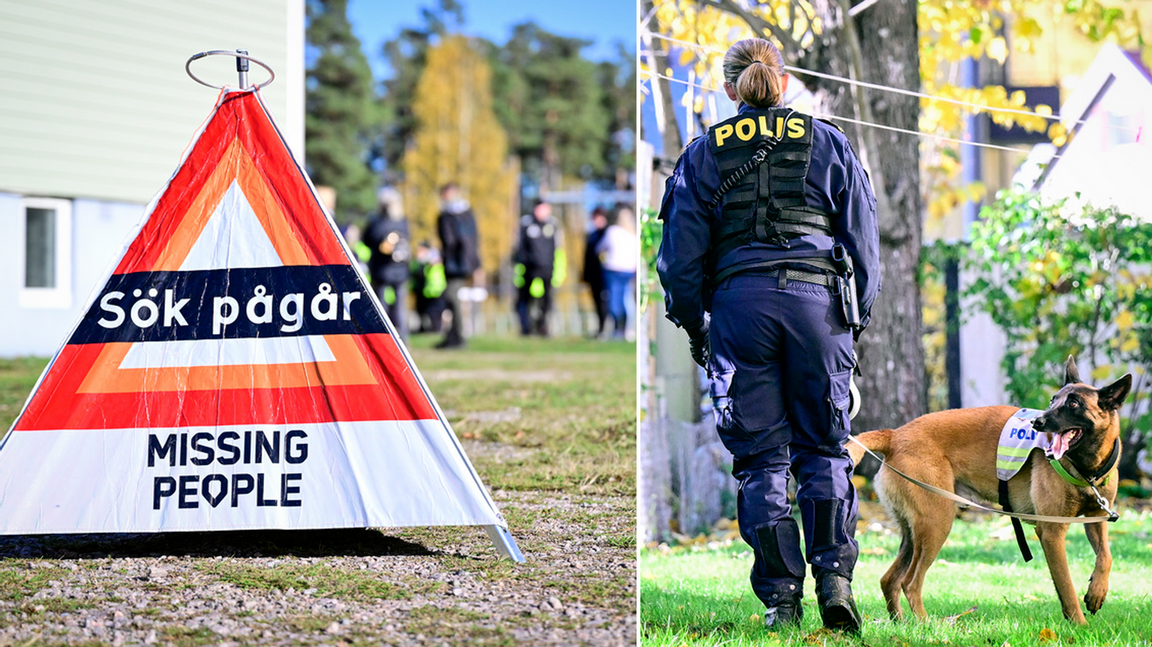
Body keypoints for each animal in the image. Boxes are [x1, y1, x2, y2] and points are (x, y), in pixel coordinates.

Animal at [852, 354, 1128, 621]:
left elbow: (1106, 556)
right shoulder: (1051, 533)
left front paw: (1097, 592)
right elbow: (1066, 586)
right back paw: (925, 625)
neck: (1087, 469)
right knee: (909, 583)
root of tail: (894, 435)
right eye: (1053, 400)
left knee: (889, 579)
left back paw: (900, 623)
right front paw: (1079, 625)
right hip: (936, 523)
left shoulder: (1097, 518)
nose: (1037, 422)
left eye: (1073, 404)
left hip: (914, 532)